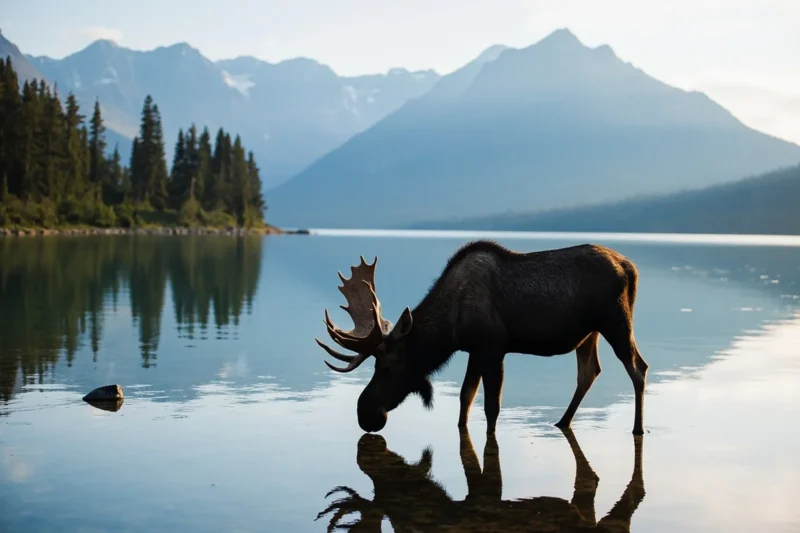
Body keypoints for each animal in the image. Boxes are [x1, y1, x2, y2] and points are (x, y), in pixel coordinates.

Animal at [315, 240, 649, 436]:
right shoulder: (474, 350)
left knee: (638, 368)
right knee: (589, 371)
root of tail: (632, 268)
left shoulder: (493, 347)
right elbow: (466, 398)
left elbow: (491, 408)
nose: (364, 413)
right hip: (588, 333)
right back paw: (562, 421)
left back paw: (637, 428)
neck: (449, 329)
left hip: (616, 322)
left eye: (385, 367)